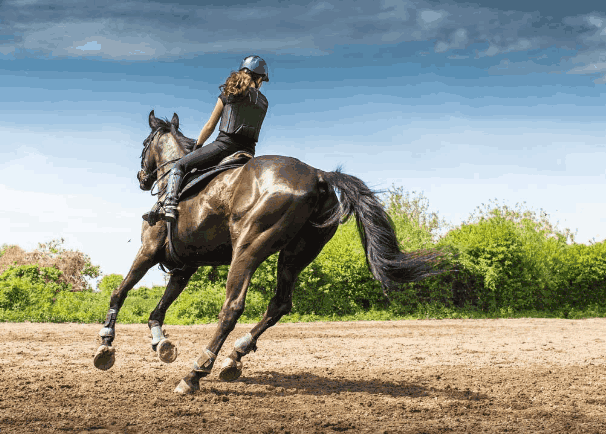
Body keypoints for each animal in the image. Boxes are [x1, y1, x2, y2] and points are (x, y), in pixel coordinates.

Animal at [94, 111, 442, 394]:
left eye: (144, 143)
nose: (142, 178)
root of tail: (319, 175)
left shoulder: (149, 251)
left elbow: (119, 292)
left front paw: (106, 344)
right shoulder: (185, 266)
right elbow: (160, 308)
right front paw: (161, 342)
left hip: (248, 248)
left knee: (232, 308)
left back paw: (195, 373)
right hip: (295, 255)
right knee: (279, 305)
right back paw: (234, 357)